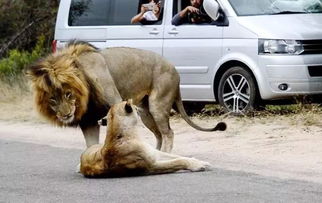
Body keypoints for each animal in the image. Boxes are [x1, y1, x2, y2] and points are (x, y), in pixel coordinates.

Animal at [27, 41, 226, 152]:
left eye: (68, 94)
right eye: (52, 99)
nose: (66, 115)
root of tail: (175, 70)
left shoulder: (116, 102)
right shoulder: (88, 120)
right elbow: (91, 144)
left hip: (158, 103)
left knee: (168, 133)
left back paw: (165, 155)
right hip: (145, 111)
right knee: (159, 134)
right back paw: (156, 154)